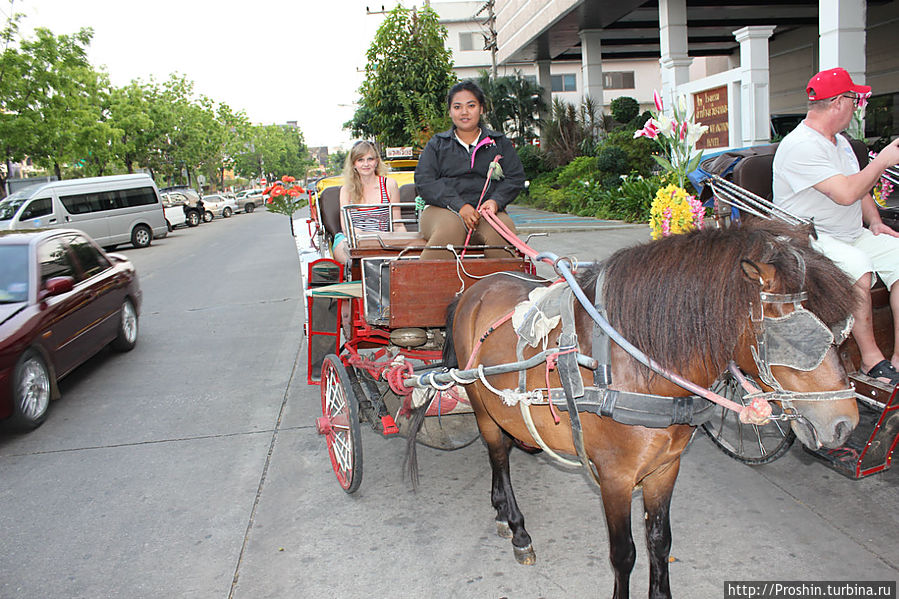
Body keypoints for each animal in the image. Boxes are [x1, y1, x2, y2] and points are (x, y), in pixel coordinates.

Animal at [428, 224, 856, 599]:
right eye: (800, 339)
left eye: (842, 331)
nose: (844, 424)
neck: (635, 366)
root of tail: (473, 290)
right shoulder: (615, 478)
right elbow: (624, 553)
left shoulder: (665, 468)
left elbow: (660, 541)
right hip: (482, 406)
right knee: (498, 455)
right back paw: (516, 527)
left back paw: (502, 512)